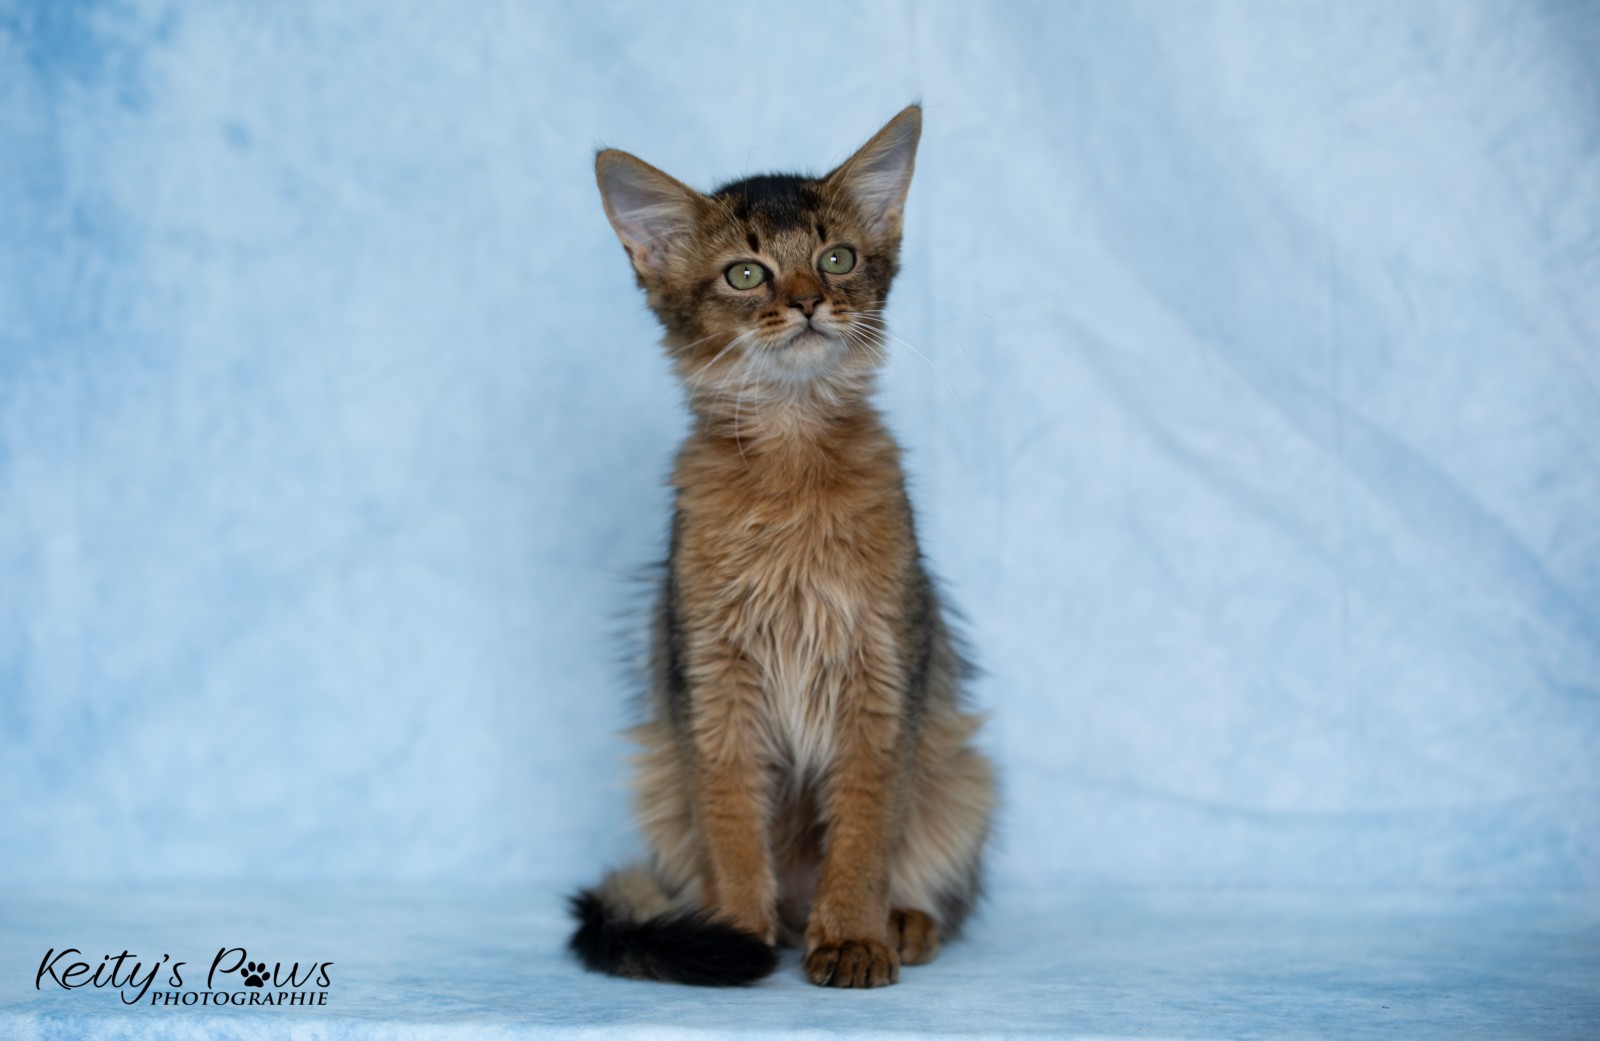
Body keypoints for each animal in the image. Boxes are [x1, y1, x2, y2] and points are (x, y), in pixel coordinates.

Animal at [569, 105, 995, 989]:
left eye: (837, 259)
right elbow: (731, 823)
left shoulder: (882, 670)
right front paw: (735, 934)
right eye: (744, 274)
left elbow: (865, 829)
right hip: (657, 773)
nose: (805, 302)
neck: (792, 455)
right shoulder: (710, 681)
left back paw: (900, 922)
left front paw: (855, 937)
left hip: (967, 771)